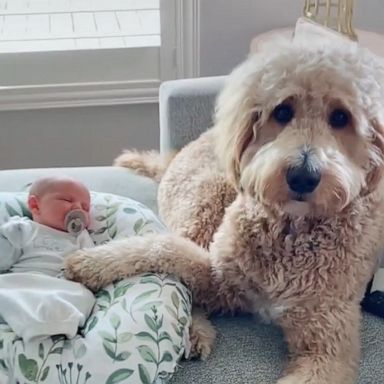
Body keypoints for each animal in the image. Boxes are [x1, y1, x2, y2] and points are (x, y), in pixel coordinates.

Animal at [64, 38, 384, 384]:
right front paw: (91, 263)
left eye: (340, 117)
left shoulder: (326, 347)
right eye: (282, 111)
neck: (292, 230)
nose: (303, 176)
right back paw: (194, 330)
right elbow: (163, 247)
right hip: (210, 198)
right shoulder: (221, 274)